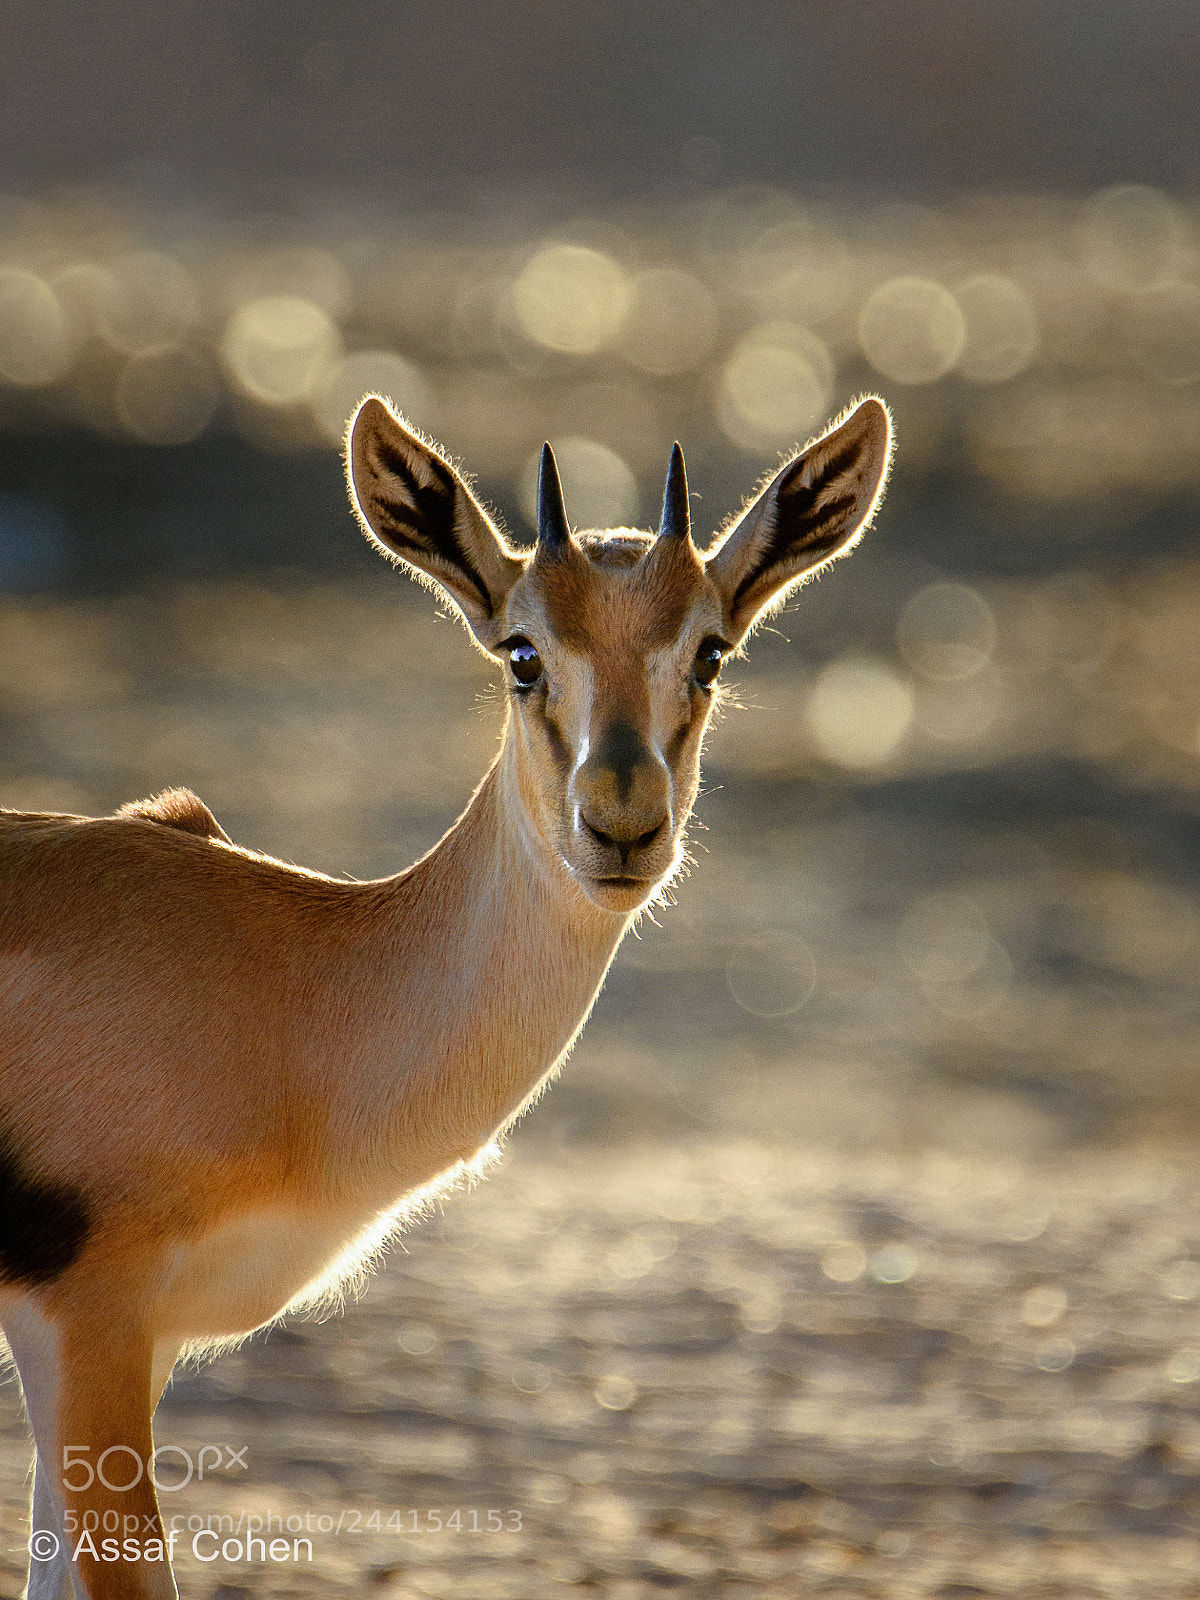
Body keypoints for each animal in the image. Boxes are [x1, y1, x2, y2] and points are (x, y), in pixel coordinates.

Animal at [0, 392, 891, 1599]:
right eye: (522, 652)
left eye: (710, 652)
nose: (621, 824)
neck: (291, 999)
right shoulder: (87, 1317)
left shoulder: (141, 1343)